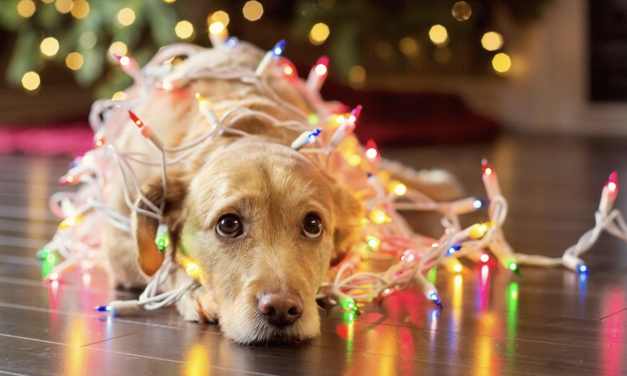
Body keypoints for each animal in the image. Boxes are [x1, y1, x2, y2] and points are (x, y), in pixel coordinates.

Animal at [103, 41, 464, 344]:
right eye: (228, 224)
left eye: (313, 225)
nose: (281, 310)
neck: (244, 129)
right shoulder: (116, 242)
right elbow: (163, 265)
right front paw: (192, 291)